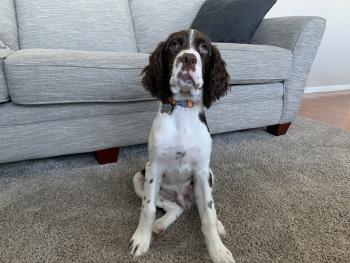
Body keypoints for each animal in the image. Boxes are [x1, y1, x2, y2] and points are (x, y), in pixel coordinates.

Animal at [129, 29, 235, 263]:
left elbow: (208, 215)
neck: (183, 110)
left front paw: (218, 251)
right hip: (139, 178)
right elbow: (147, 209)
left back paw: (219, 225)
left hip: (209, 176)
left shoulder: (202, 170)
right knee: (174, 208)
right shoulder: (153, 168)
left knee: (206, 208)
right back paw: (160, 224)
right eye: (175, 45)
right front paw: (141, 239)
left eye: (204, 48)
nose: (188, 58)